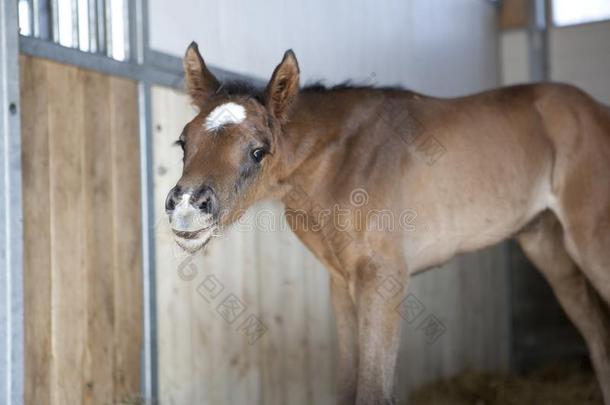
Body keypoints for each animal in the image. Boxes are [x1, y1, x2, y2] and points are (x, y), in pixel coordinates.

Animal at [165, 41, 608, 404]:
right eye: (184, 142)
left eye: (258, 151)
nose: (187, 206)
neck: (343, 160)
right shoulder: (342, 283)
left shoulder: (385, 277)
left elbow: (373, 391)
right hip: (545, 243)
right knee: (597, 336)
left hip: (590, 239)